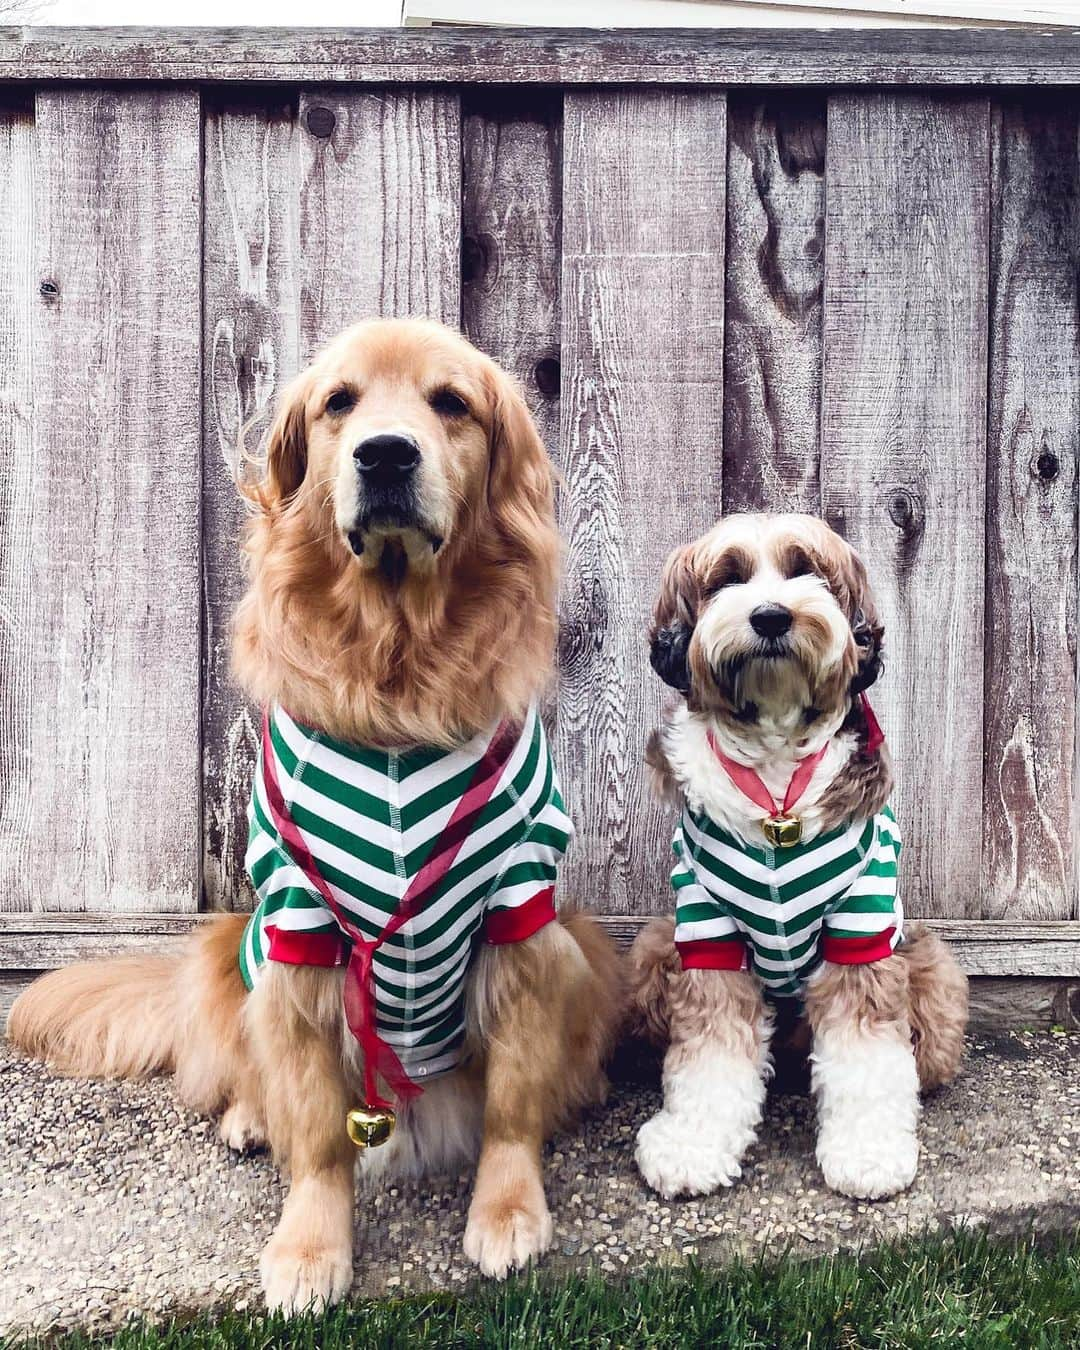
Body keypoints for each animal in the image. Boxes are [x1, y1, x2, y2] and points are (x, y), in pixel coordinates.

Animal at [8, 315, 621, 1306]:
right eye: (341, 403)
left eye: (450, 402)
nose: (385, 453)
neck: (399, 663)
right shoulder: (299, 932)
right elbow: (319, 1131)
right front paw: (309, 1248)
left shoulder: (523, 917)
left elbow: (512, 1105)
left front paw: (507, 1211)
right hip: (228, 949)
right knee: (251, 1075)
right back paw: (250, 1119)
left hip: (586, 940)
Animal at [629, 513, 966, 1204]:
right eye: (727, 577)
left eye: (805, 568)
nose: (770, 616)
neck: (777, 780)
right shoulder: (707, 934)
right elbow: (709, 1053)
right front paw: (693, 1144)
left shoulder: (861, 931)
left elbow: (867, 1057)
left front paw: (867, 1153)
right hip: (651, 951)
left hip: (934, 974)